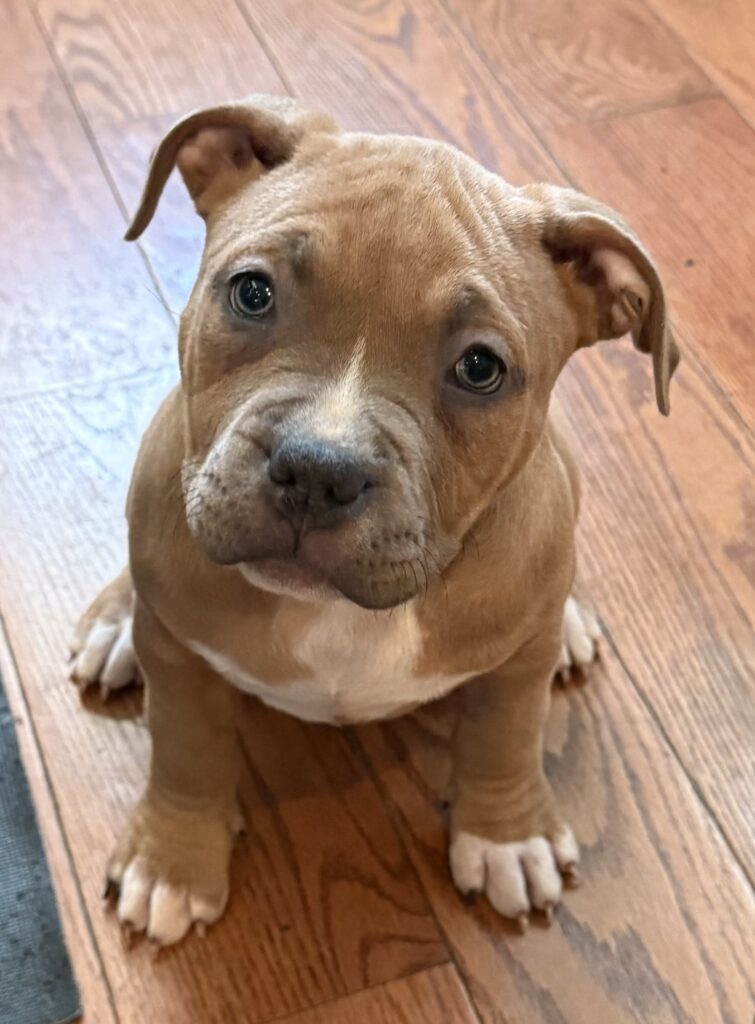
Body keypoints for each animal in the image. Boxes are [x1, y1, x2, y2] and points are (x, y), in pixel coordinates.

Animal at [69, 95, 678, 948]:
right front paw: (173, 862)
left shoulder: (513, 674)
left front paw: (505, 835)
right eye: (251, 293)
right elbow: (185, 752)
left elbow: (505, 738)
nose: (317, 470)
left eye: (480, 369)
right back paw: (113, 622)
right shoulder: (178, 655)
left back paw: (570, 620)